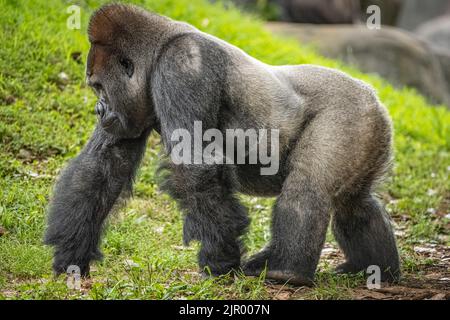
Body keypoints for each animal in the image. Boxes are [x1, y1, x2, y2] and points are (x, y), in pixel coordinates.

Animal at [44, 3, 400, 284]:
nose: (99, 109)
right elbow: (103, 166)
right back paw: (373, 269)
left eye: (99, 87)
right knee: (354, 204)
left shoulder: (182, 67)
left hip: (349, 112)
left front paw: (221, 260)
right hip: (370, 129)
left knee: (309, 187)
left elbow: (195, 165)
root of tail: (375, 98)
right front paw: (70, 256)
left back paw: (287, 271)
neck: (157, 49)